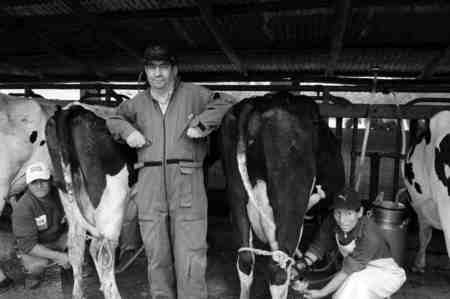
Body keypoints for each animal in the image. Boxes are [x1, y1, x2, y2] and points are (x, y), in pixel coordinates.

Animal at [46, 106, 138, 298]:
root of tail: (70, 109)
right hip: (112, 204)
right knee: (102, 252)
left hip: (70, 202)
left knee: (76, 247)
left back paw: (79, 293)